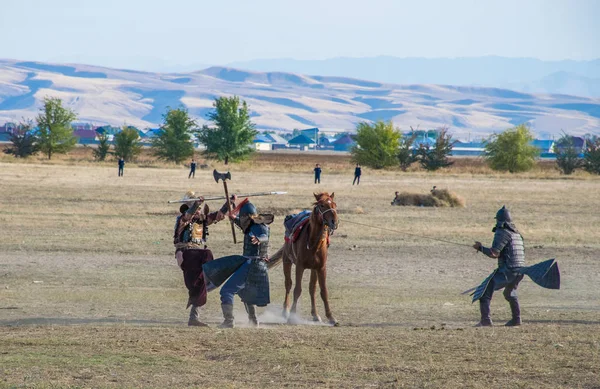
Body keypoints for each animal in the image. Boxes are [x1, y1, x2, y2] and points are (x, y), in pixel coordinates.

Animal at [270, 192, 340, 324]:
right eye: (322, 205)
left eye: (334, 204)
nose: (335, 222)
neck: (314, 244)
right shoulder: (300, 266)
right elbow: (297, 289)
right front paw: (292, 315)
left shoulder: (321, 268)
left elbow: (323, 291)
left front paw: (331, 317)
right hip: (287, 261)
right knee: (288, 284)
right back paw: (285, 311)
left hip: (313, 269)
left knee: (312, 288)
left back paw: (315, 315)